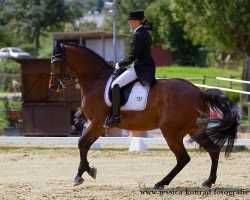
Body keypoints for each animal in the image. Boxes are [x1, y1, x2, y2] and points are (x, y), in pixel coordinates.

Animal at [47, 43, 241, 189]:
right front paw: (88, 171)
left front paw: (80, 176)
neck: (96, 81)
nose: (52, 86)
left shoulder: (97, 122)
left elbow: (81, 143)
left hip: (171, 131)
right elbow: (85, 145)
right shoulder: (100, 126)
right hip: (195, 130)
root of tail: (199, 92)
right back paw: (208, 181)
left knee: (183, 158)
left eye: (57, 61)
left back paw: (161, 183)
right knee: (213, 150)